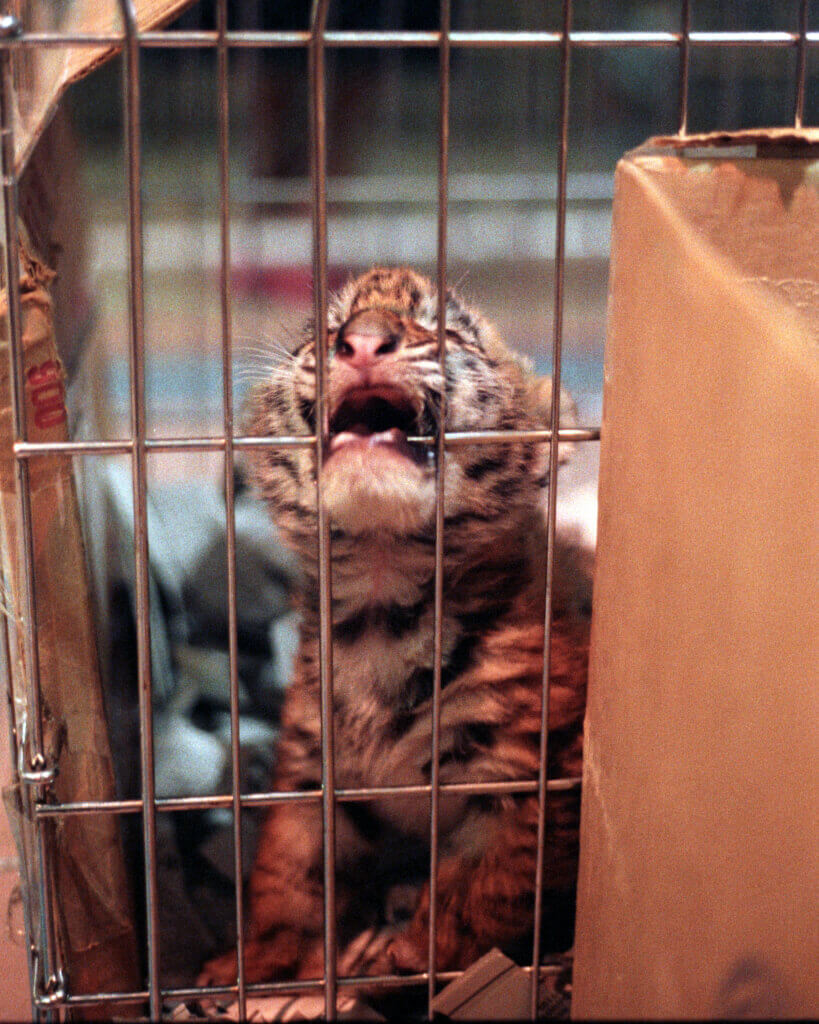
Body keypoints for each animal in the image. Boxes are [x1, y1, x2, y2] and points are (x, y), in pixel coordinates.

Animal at [201, 268, 593, 987]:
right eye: (327, 329)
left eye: (449, 332)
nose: (361, 341)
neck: (381, 605)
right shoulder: (311, 764)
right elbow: (287, 870)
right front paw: (260, 960)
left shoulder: (529, 777)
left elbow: (491, 883)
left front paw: (421, 953)